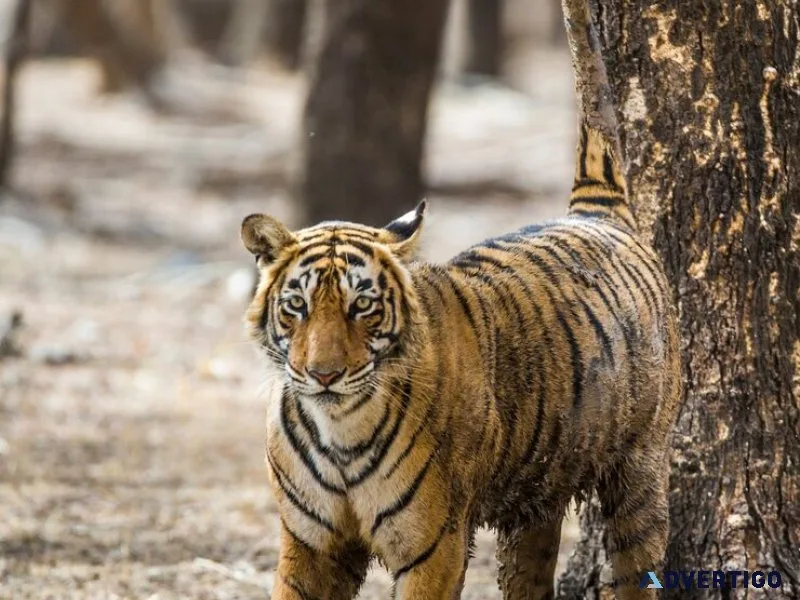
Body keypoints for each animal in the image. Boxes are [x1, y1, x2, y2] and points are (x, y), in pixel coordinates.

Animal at [241, 124, 681, 600]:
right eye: (297, 306)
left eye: (362, 306)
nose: (324, 375)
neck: (339, 432)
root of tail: (597, 214)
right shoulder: (311, 545)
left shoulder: (433, 547)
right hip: (538, 497)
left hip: (640, 475)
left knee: (639, 567)